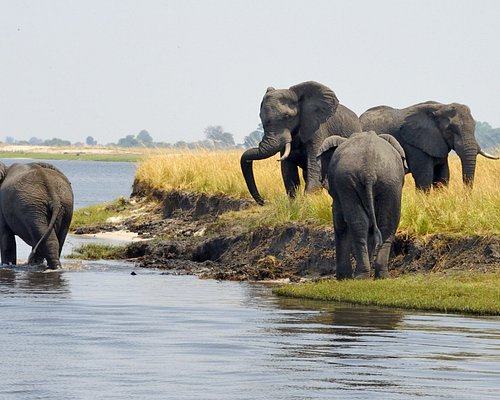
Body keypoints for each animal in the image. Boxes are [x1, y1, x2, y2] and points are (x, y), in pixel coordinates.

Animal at [318, 133, 408, 280]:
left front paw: (343, 277)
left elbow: (339, 222)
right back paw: (380, 275)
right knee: (387, 224)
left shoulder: (339, 188)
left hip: (350, 182)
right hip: (390, 181)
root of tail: (369, 171)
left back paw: (361, 276)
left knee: (359, 223)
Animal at [360, 102, 496, 191]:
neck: (441, 107)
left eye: (474, 126)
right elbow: (424, 177)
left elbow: (442, 177)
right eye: (451, 130)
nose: (465, 196)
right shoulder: (415, 145)